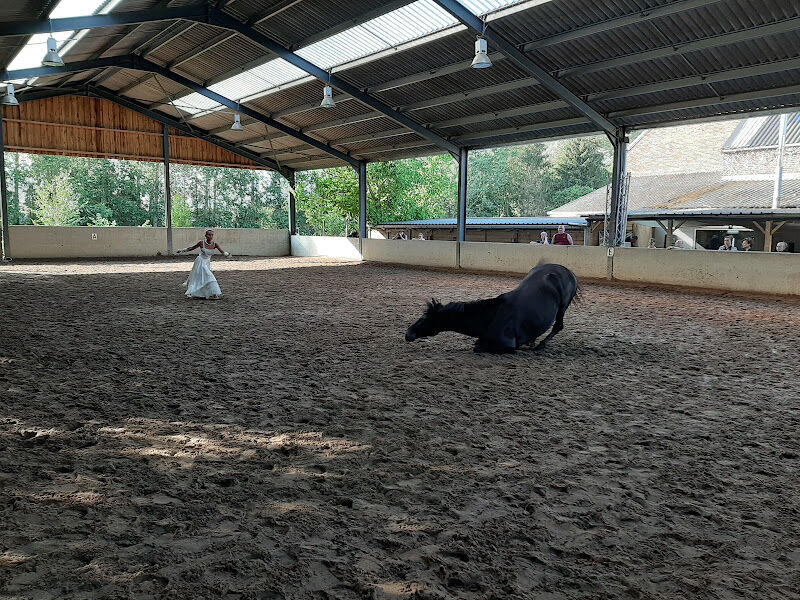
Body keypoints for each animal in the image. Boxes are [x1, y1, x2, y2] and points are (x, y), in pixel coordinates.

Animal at [406, 262, 576, 352]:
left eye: (426, 319)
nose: (408, 333)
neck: (491, 318)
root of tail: (566, 271)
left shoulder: (508, 346)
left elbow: (479, 346)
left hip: (562, 307)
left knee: (558, 326)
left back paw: (540, 345)